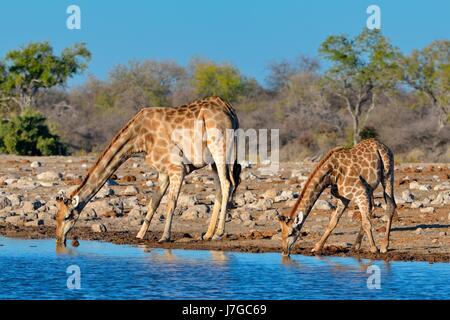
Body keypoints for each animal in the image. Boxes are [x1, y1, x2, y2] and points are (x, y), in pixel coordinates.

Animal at [56, 96, 243, 246]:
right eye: (55, 217)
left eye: (67, 216)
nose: (59, 238)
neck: (139, 138)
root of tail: (231, 111)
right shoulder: (163, 172)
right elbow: (153, 203)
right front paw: (140, 236)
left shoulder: (177, 168)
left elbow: (171, 203)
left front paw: (165, 237)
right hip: (214, 158)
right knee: (220, 188)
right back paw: (208, 234)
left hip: (220, 147)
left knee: (227, 183)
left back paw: (218, 233)